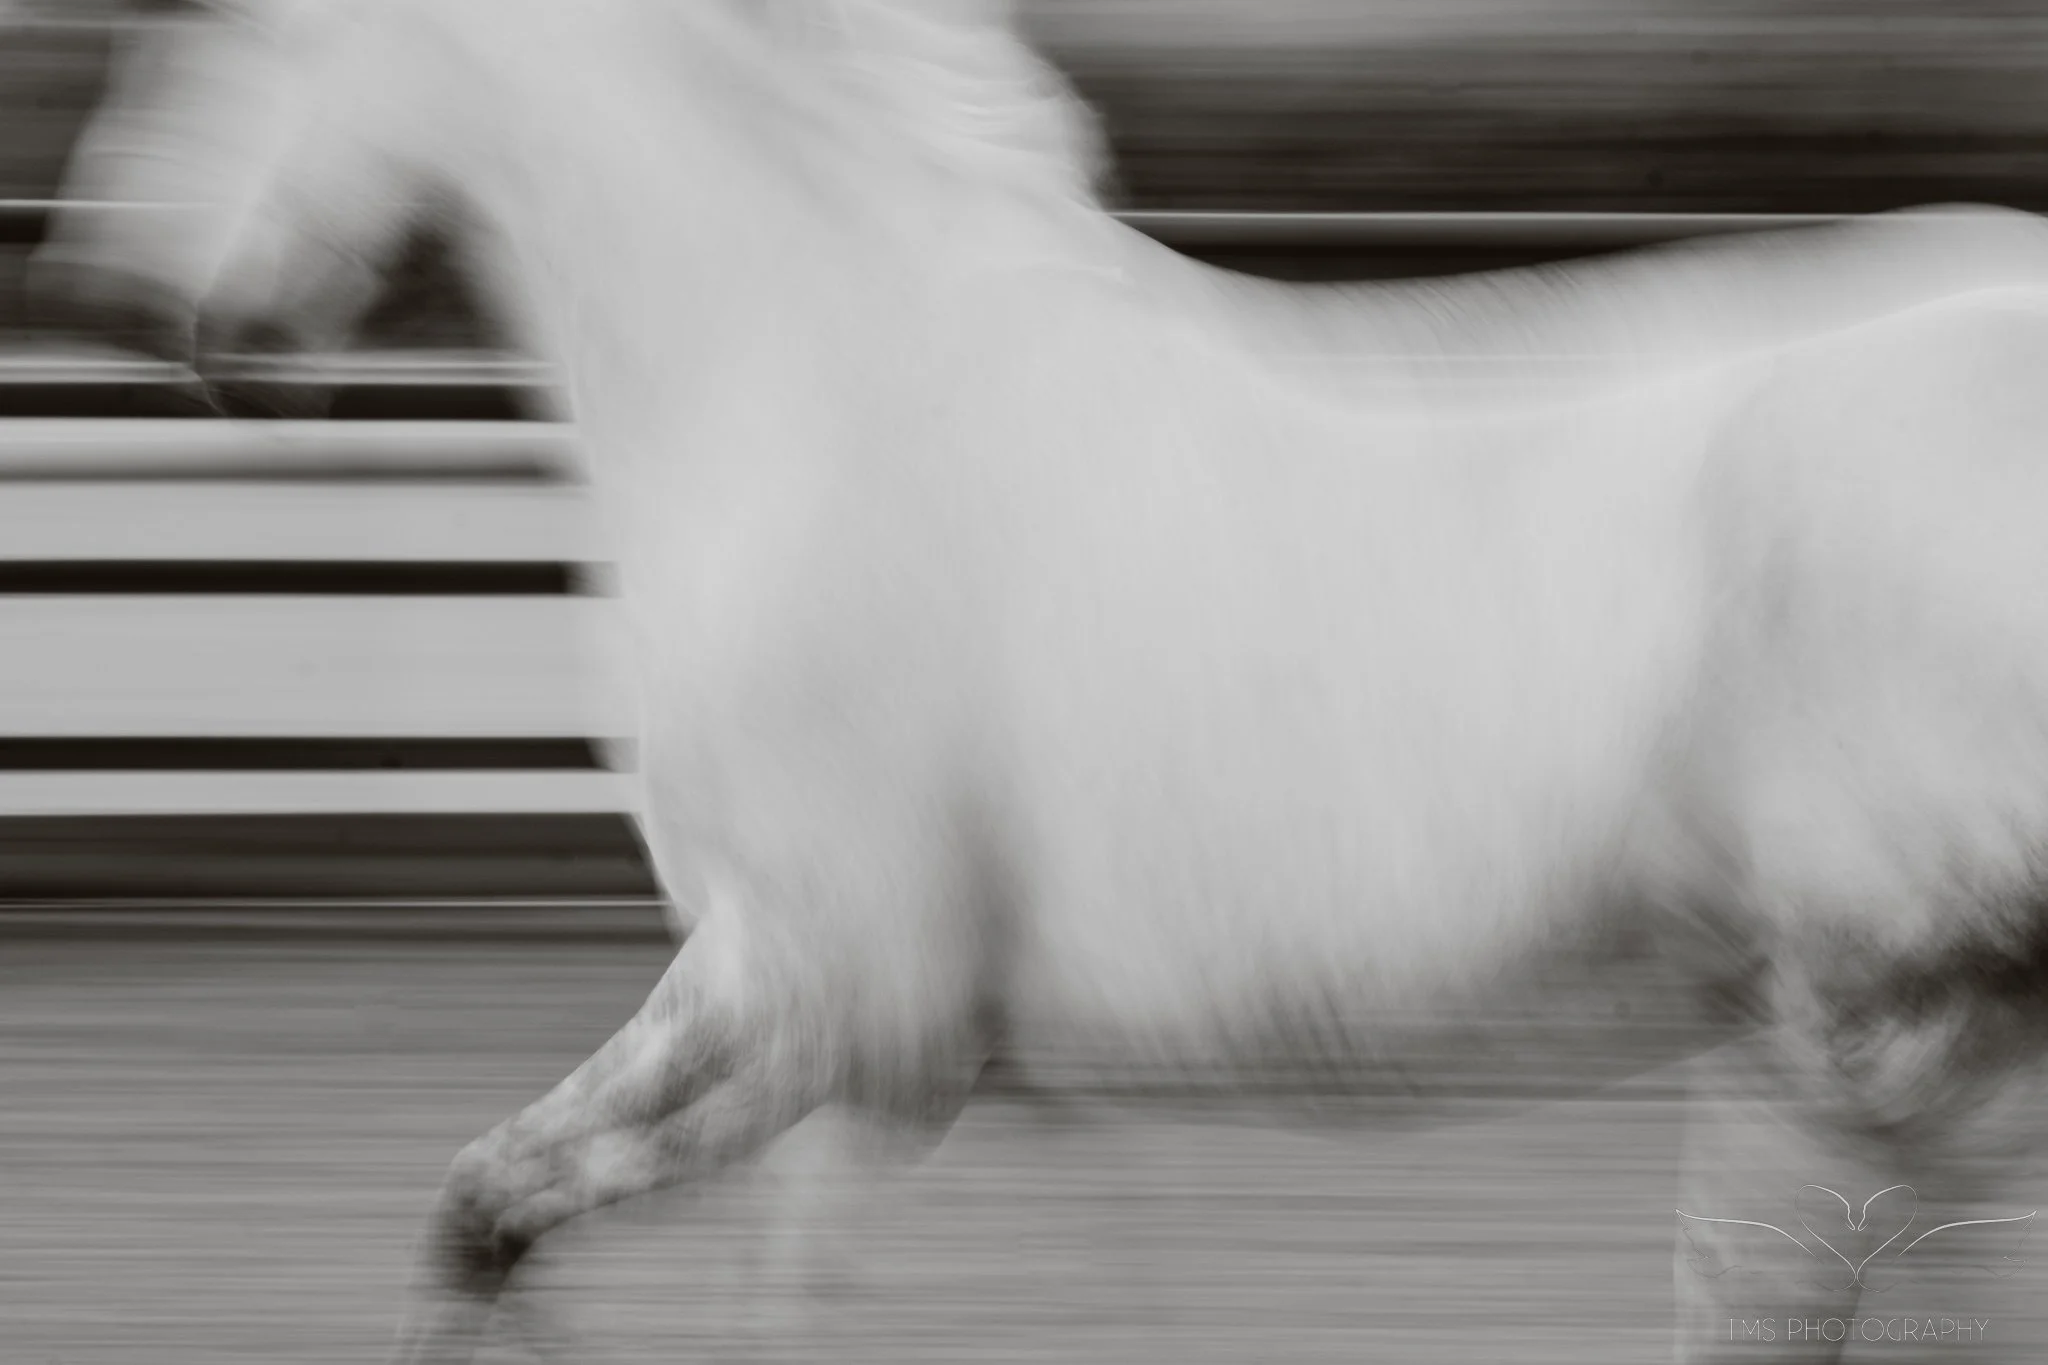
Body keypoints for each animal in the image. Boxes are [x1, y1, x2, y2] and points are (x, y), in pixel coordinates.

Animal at [40, 1, 2048, 1359]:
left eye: (234, 27)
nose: (135, 310)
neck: (810, 391)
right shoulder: (869, 1046)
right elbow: (563, 1241)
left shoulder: (832, 997)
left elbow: (525, 1216)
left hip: (1865, 1007)